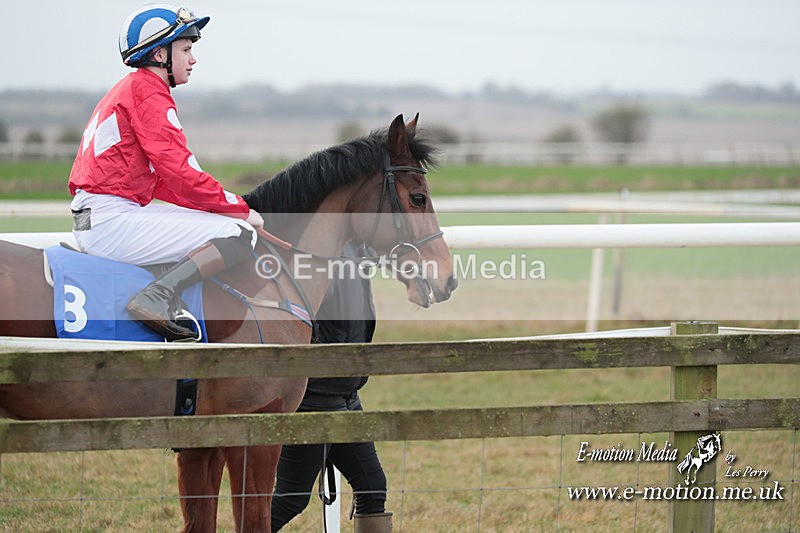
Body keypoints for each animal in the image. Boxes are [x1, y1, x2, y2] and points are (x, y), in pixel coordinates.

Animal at [0, 113, 458, 532]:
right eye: (418, 198)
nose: (447, 277)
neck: (266, 282)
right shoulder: (255, 430)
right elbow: (254, 520)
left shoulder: (201, 439)